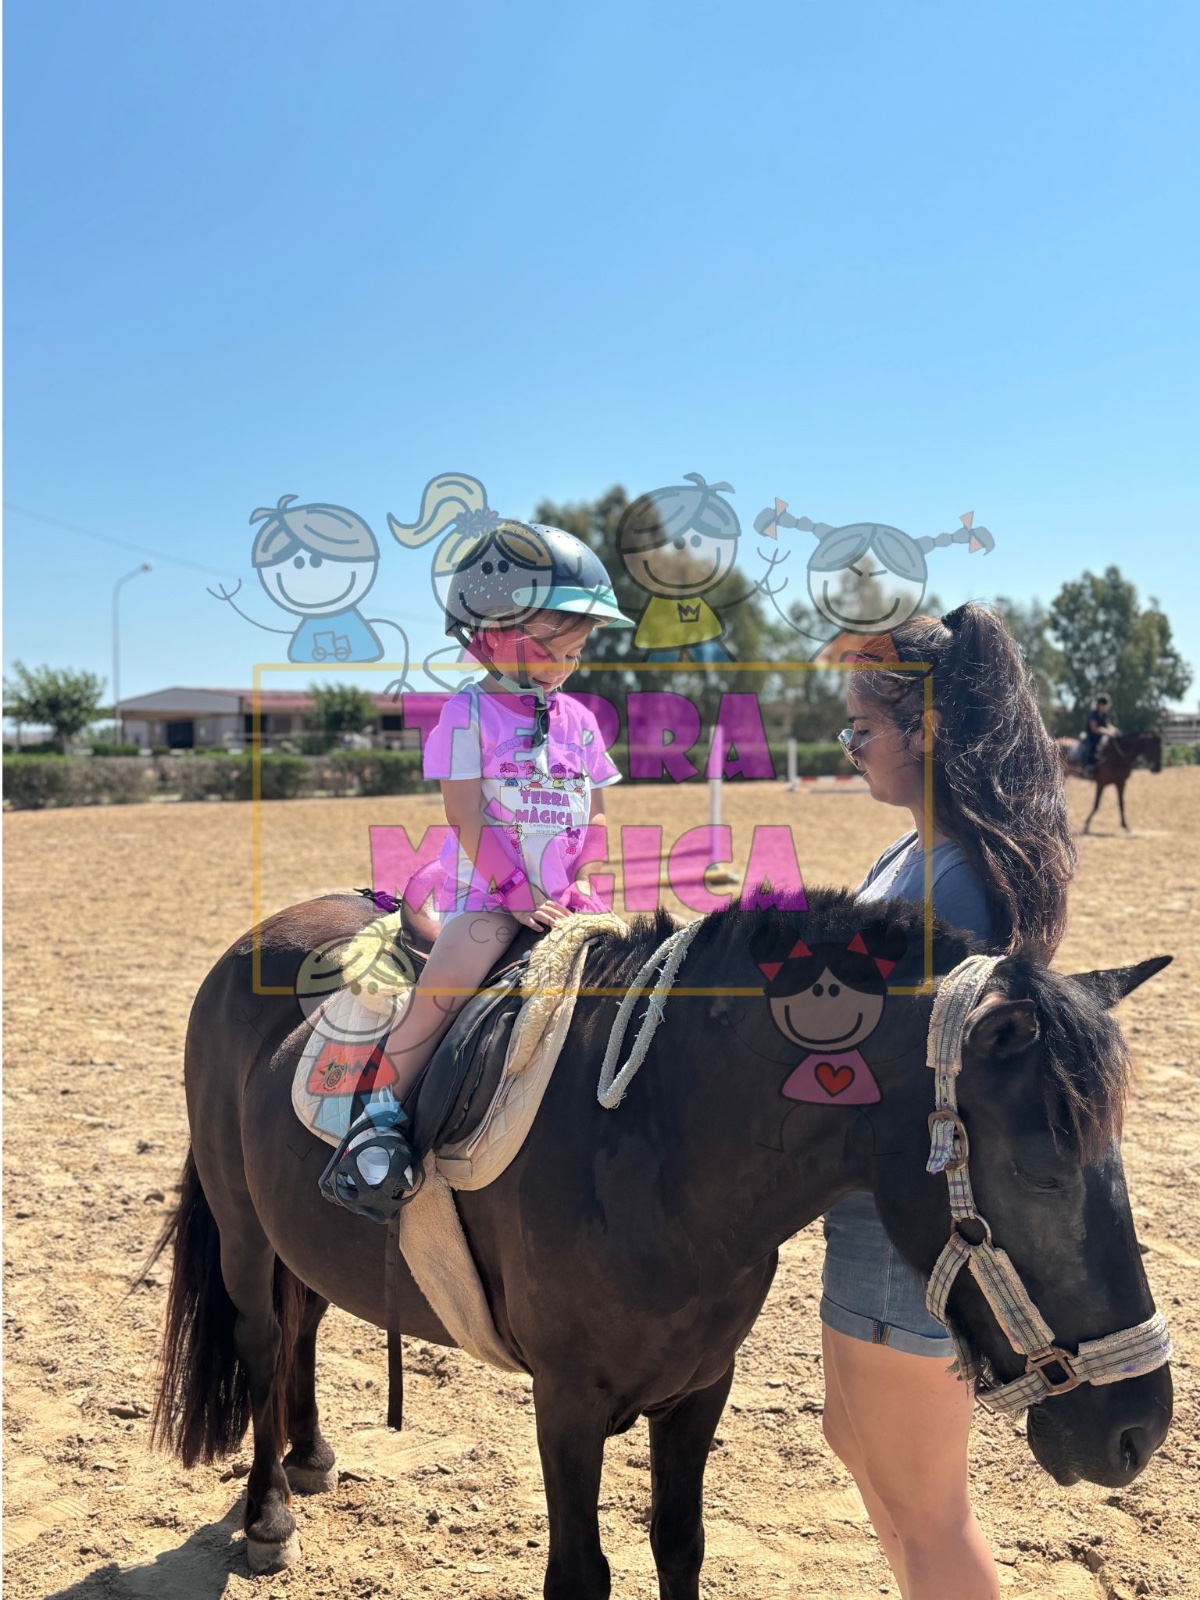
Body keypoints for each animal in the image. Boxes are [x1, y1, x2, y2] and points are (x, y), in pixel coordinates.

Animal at [151, 888, 1173, 1599]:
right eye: (1042, 1173)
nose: (1139, 1430)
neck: (657, 1139)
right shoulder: (565, 1404)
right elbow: (581, 1573)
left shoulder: (701, 1385)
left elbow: (680, 1543)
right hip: (244, 1232)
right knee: (262, 1342)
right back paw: (269, 1512)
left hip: (302, 1240)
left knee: (305, 1326)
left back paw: (311, 1456)